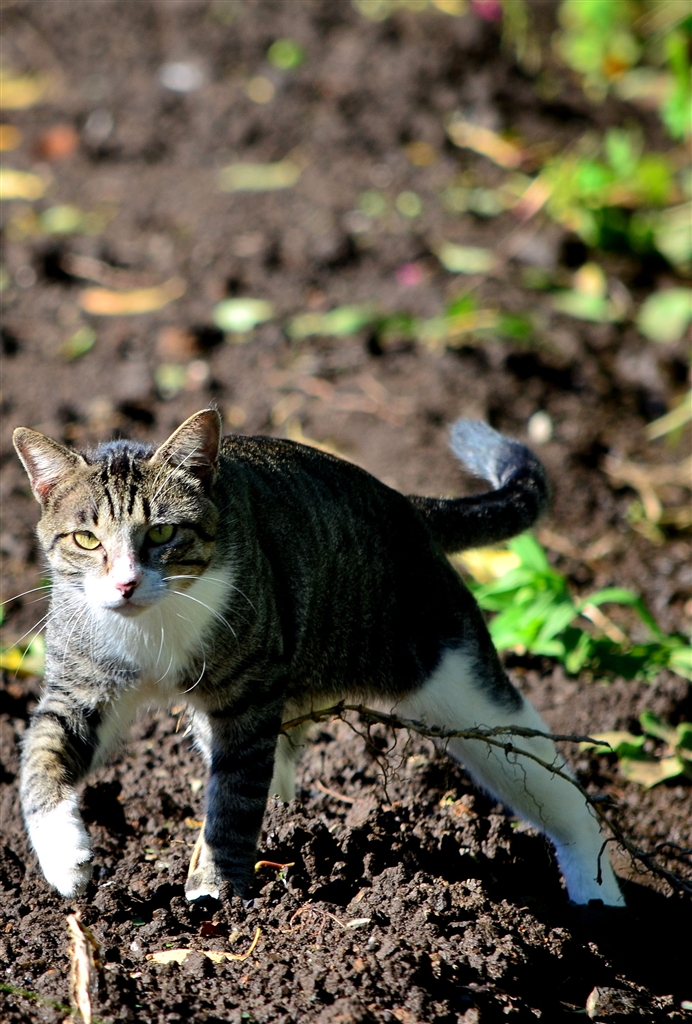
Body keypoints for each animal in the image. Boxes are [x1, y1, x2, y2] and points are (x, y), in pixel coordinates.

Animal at [12, 409, 624, 907]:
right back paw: (290, 823)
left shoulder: (250, 697)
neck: (150, 627)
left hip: (461, 681)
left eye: (161, 533)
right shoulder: (81, 687)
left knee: (552, 780)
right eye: (87, 540)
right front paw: (64, 859)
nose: (125, 584)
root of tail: (399, 500)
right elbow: (40, 760)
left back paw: (599, 894)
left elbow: (234, 800)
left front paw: (214, 895)